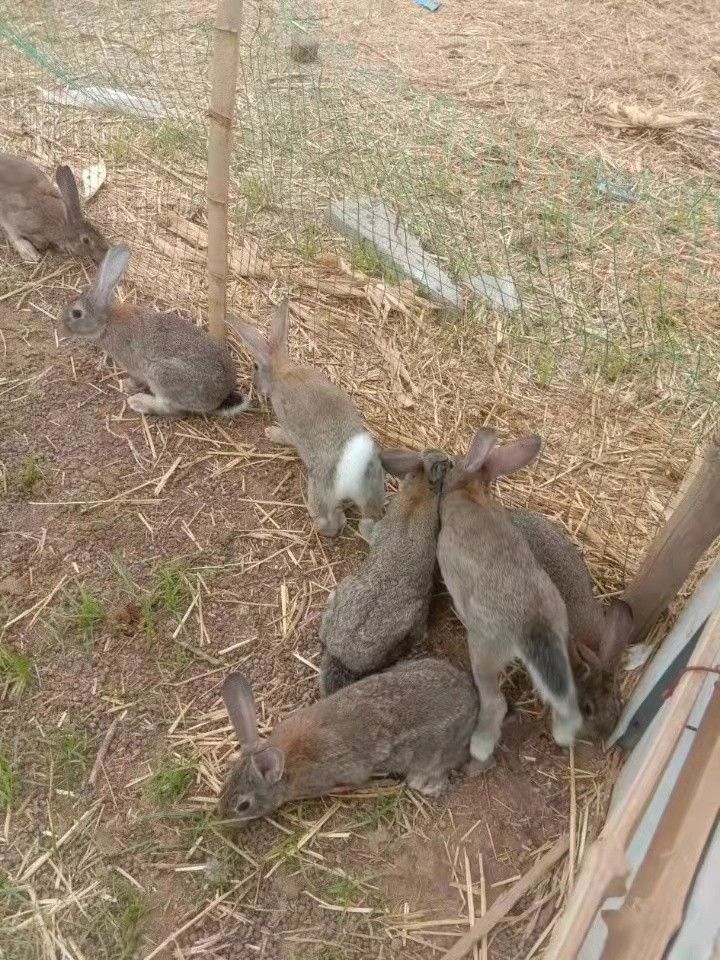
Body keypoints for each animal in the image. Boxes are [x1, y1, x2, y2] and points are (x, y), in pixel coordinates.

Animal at [62, 244, 248, 416]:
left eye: (76, 313)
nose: (62, 327)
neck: (107, 321)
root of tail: (220, 399)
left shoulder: (133, 366)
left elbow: (135, 380)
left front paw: (126, 385)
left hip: (162, 376)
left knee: (171, 410)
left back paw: (138, 402)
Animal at [228, 302, 386, 536]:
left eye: (256, 366)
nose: (256, 385)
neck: (282, 373)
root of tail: (354, 471)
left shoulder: (287, 419)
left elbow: (287, 435)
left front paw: (271, 433)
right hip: (372, 486)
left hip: (320, 487)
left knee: (329, 521)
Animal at [436, 430, 584, 764]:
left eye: (453, 465)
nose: (447, 463)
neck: (469, 493)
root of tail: (532, 625)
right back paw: (563, 735)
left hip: (483, 650)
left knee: (495, 702)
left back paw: (480, 746)